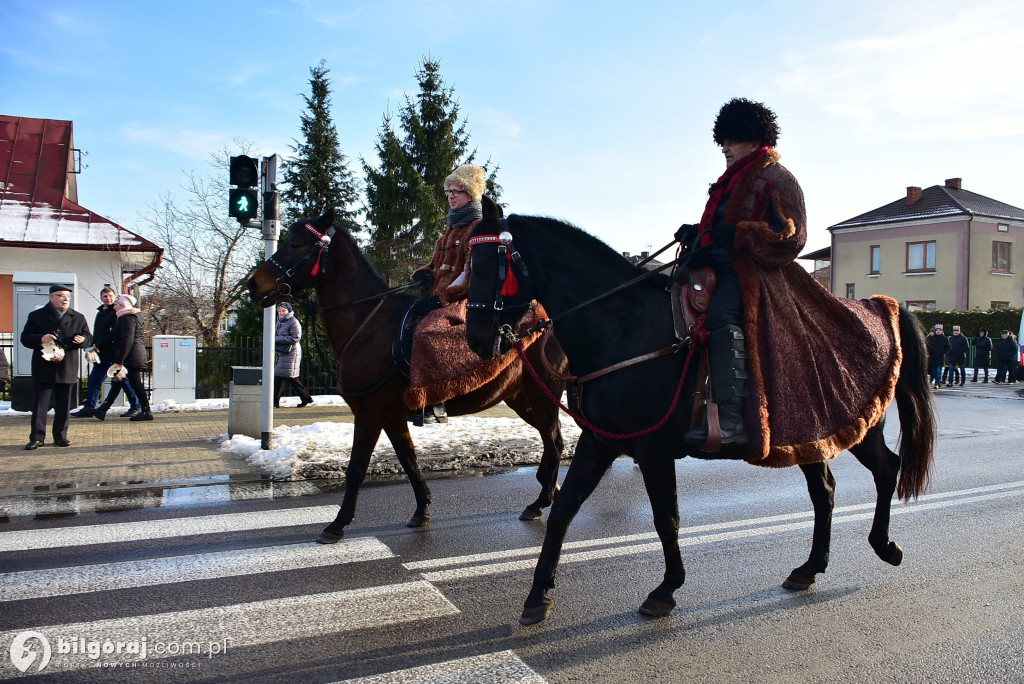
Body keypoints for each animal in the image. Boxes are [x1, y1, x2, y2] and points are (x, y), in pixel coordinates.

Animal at [246, 208, 569, 540]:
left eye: (297, 244)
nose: (253, 285)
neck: (368, 324)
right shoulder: (391, 416)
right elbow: (409, 460)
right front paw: (421, 510)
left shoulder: (370, 413)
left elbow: (357, 468)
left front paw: (338, 524)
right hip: (523, 399)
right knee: (551, 443)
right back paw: (546, 493)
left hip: (543, 397)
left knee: (555, 443)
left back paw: (541, 501)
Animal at [464, 214, 937, 626]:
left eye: (486, 264)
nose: (477, 339)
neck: (623, 327)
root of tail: (882, 309)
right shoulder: (600, 442)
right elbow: (563, 510)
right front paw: (537, 595)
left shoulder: (653, 450)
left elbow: (666, 518)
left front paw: (665, 589)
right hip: (812, 434)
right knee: (826, 492)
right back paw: (810, 567)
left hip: (858, 428)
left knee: (886, 469)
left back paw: (883, 545)